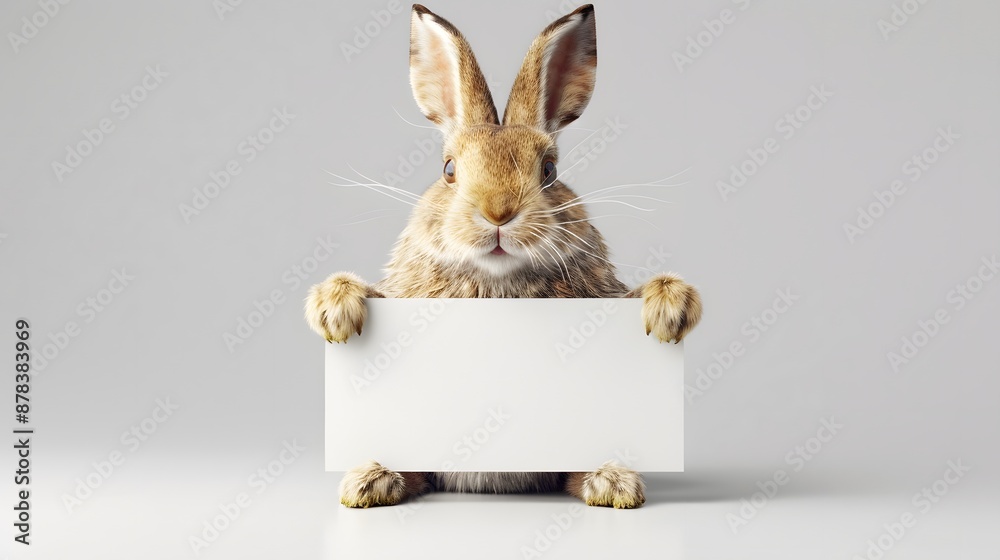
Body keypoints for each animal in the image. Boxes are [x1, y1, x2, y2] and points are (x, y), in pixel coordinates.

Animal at [305, 3, 701, 509]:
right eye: (449, 169)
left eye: (549, 171)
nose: (498, 211)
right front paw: (334, 309)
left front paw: (671, 307)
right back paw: (370, 480)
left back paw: (613, 483)